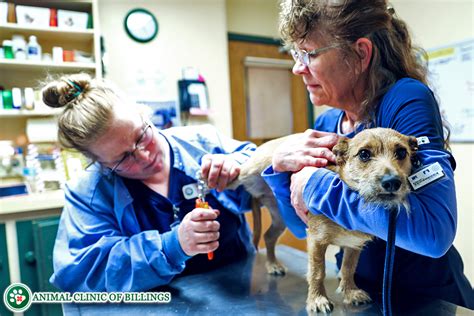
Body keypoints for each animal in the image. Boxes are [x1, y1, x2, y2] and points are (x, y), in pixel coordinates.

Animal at [228, 126, 416, 314]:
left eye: (401, 152)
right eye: (364, 154)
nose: (392, 182)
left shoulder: (353, 244)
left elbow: (348, 268)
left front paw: (350, 292)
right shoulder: (316, 240)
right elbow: (317, 271)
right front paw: (317, 299)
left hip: (280, 219)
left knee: (268, 236)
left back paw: (273, 264)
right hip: (247, 171)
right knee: (233, 175)